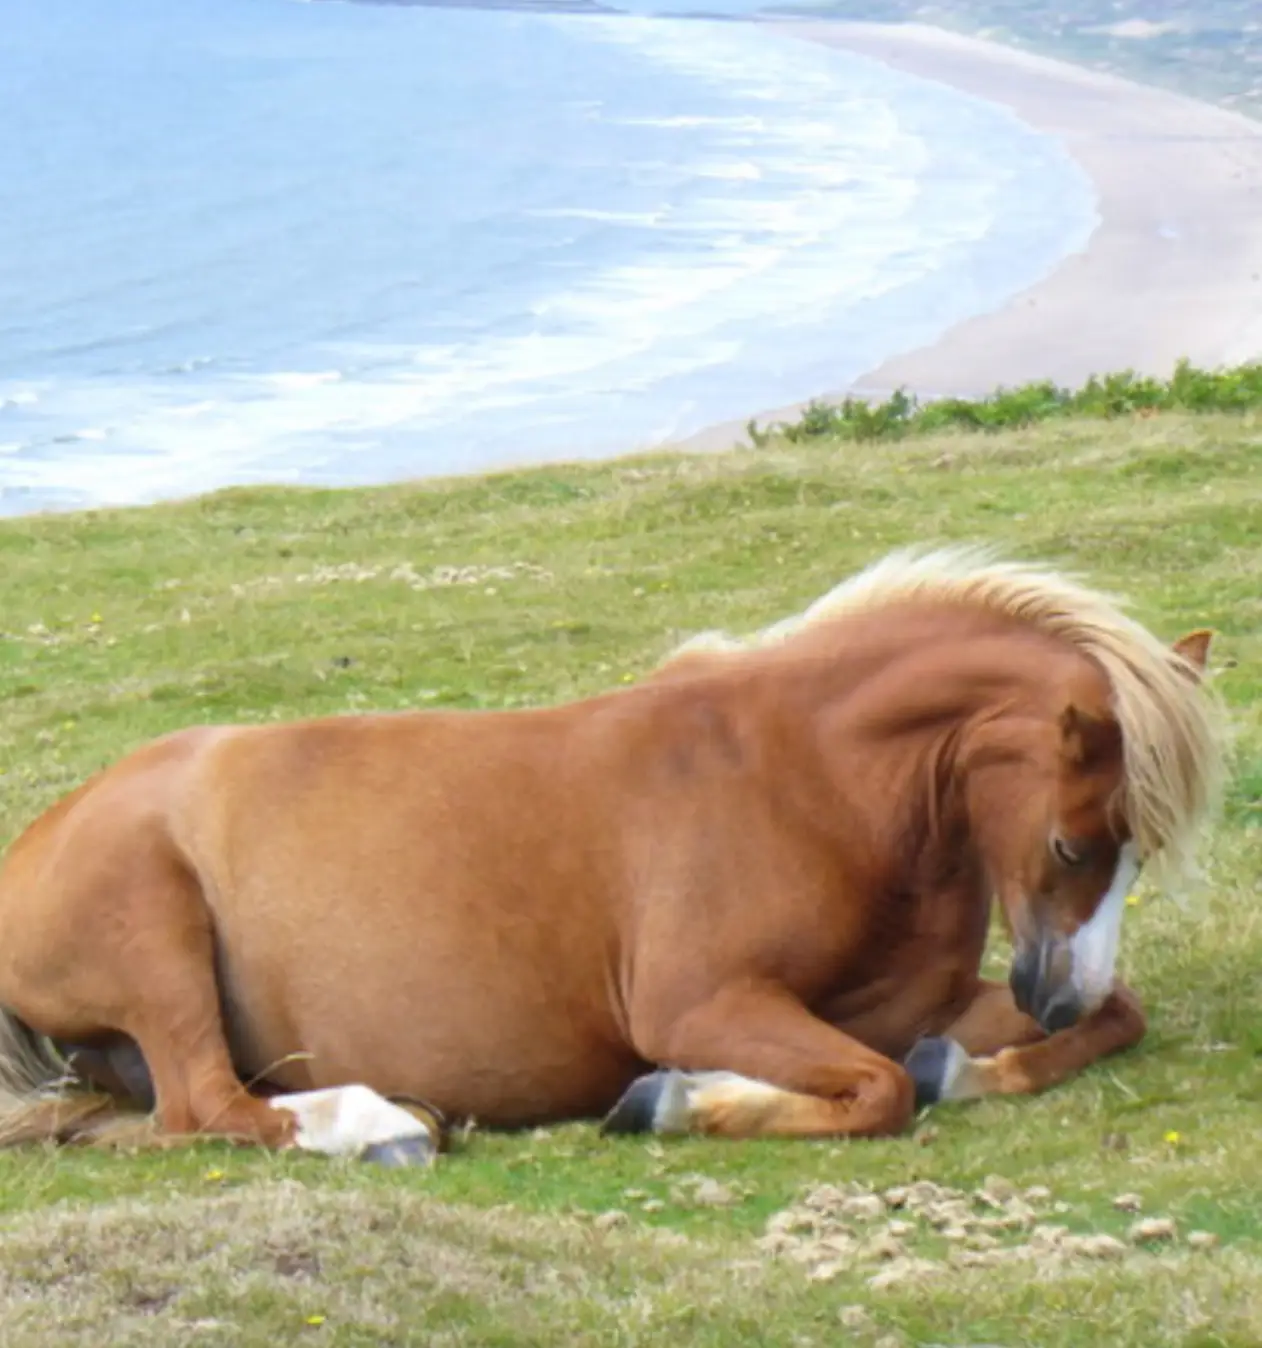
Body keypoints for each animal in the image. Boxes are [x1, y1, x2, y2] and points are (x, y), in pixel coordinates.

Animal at [0, 545, 1226, 1166]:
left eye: (1135, 851)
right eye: (1073, 840)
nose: (1056, 996)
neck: (808, 777)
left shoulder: (897, 1005)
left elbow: (1098, 1027)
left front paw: (969, 1065)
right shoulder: (698, 1004)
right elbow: (878, 1090)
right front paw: (680, 1102)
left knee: (148, 1118)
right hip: (158, 939)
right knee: (205, 1104)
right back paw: (381, 1123)